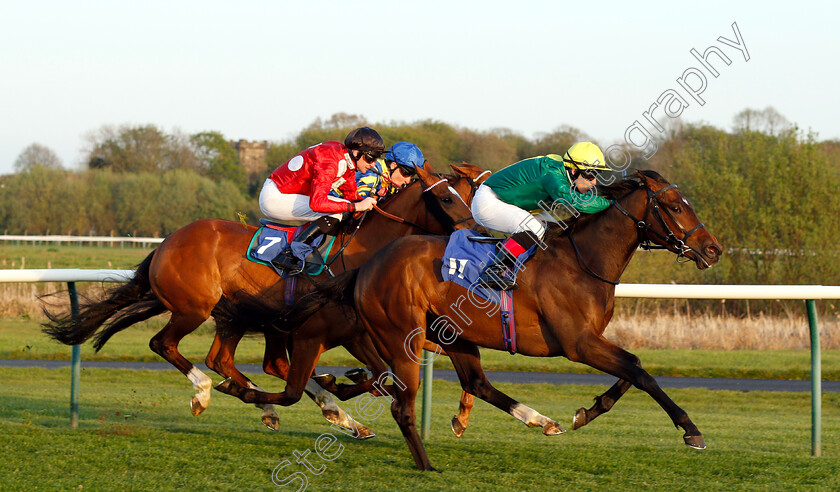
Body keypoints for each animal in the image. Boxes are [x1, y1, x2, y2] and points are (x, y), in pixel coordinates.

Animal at [42, 163, 488, 436]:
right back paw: (206, 393)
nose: (477, 236)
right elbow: (378, 378)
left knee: (225, 359)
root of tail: (168, 243)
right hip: (195, 307)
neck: (363, 250)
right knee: (165, 344)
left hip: (232, 315)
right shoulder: (348, 330)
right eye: (447, 199)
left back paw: (290, 408)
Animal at [221, 169, 720, 468]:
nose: (712, 249)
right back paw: (420, 460)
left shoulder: (590, 341)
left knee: (472, 383)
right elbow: (640, 371)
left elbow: (631, 370)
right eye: (676, 206)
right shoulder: (578, 343)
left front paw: (586, 412)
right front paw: (691, 431)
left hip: (454, 335)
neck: (582, 261)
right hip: (402, 331)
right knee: (400, 397)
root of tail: (368, 264)